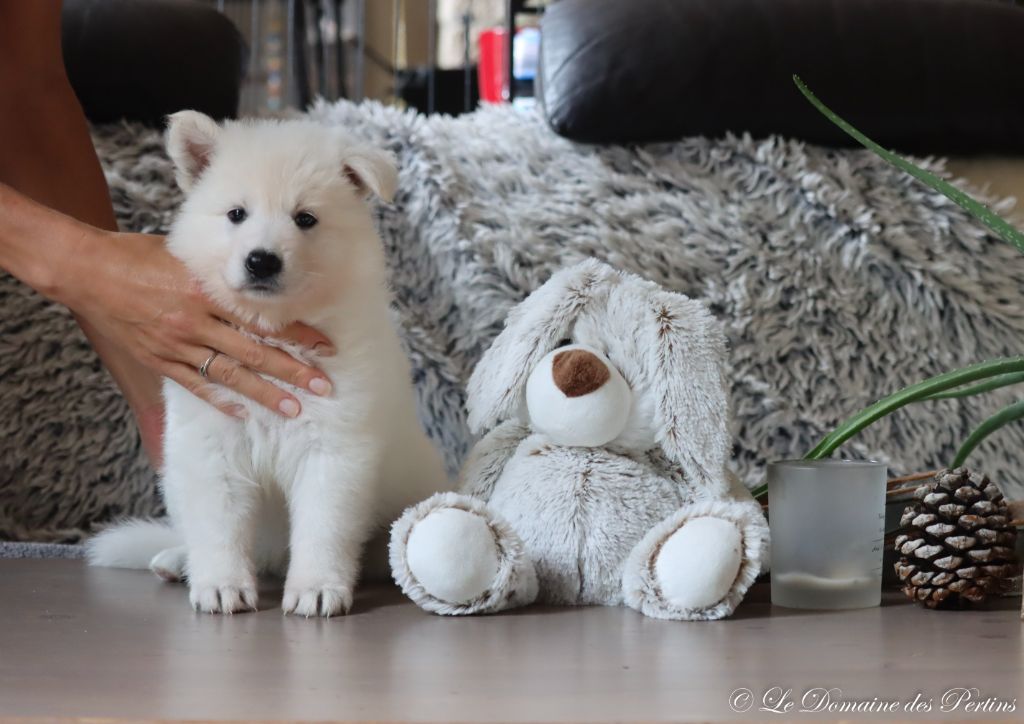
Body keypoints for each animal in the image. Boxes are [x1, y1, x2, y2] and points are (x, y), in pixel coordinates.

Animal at [90, 113, 450, 618]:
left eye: (305, 219)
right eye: (236, 214)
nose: (261, 261)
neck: (270, 329)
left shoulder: (333, 448)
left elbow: (323, 527)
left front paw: (316, 588)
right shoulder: (211, 444)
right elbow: (218, 526)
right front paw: (220, 585)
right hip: (176, 479)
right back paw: (178, 560)